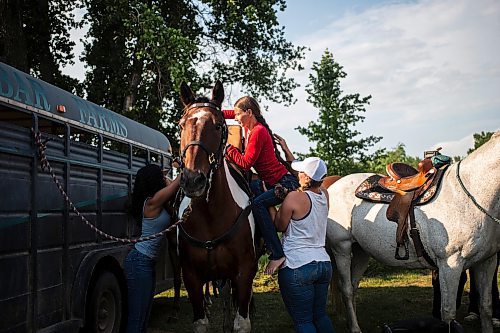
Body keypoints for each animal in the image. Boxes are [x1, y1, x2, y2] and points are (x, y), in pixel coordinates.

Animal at [177, 81, 256, 332]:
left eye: (218, 125)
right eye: (181, 125)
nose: (193, 180)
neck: (211, 216)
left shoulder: (243, 274)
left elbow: (241, 322)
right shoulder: (191, 277)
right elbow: (201, 322)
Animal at [326, 131, 498, 330]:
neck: (470, 193)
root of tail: (333, 186)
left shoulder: (487, 261)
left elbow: (486, 307)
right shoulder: (450, 265)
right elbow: (448, 315)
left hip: (361, 251)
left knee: (353, 287)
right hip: (342, 248)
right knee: (346, 289)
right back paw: (354, 328)